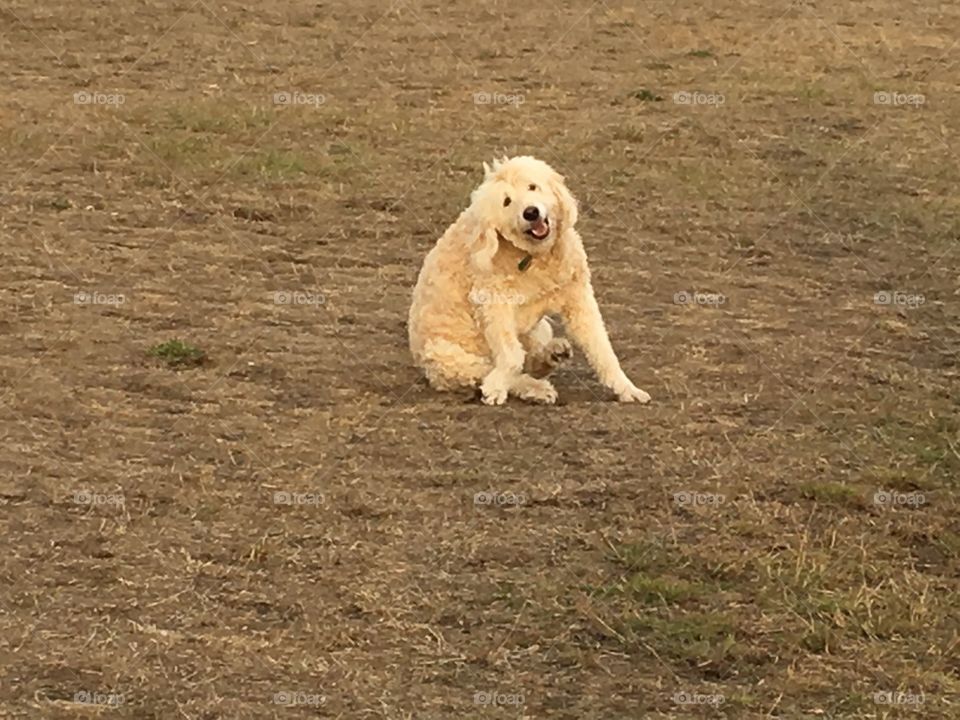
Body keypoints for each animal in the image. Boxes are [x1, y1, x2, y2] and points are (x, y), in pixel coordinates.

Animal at [406, 155, 652, 404]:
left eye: (532, 187)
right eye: (506, 201)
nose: (531, 212)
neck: (536, 257)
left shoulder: (579, 297)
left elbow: (602, 348)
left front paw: (627, 388)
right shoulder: (494, 305)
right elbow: (511, 356)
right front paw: (496, 388)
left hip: (539, 328)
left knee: (530, 358)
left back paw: (552, 354)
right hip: (449, 356)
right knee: (492, 370)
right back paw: (535, 387)